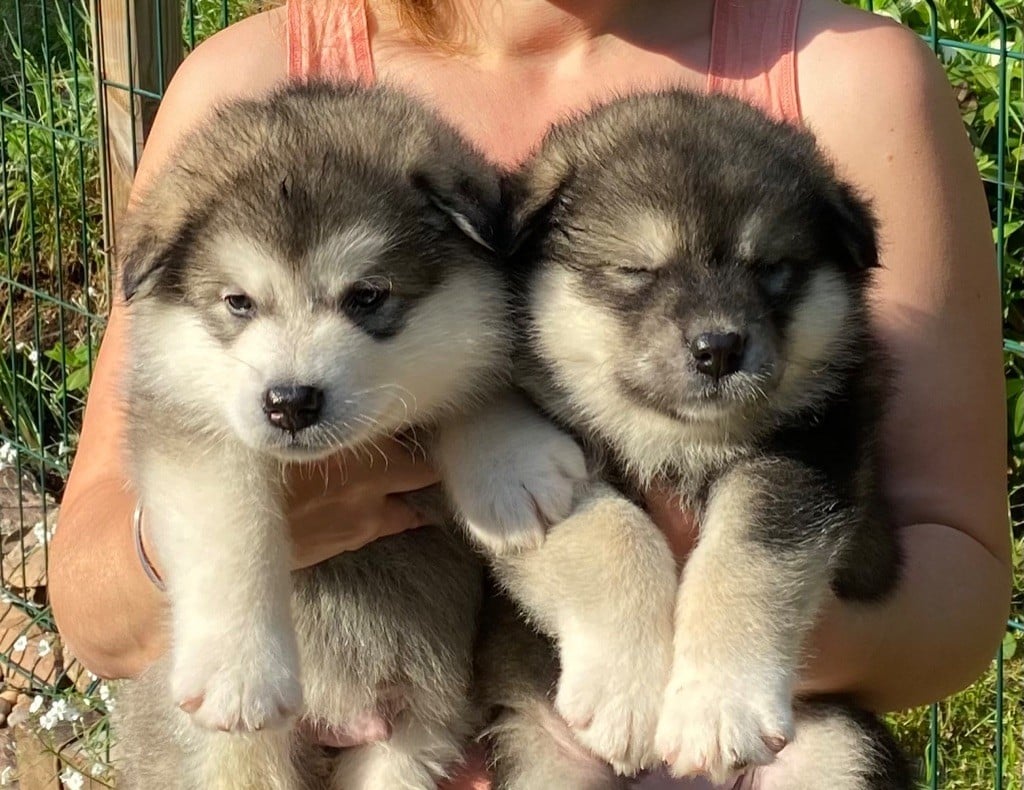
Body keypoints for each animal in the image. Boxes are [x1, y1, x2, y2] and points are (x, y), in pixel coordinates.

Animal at [111, 80, 585, 790]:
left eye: (367, 296)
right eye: (238, 302)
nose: (290, 403)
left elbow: (474, 385)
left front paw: (510, 465)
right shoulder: (182, 416)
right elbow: (224, 520)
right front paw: (238, 669)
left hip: (411, 734)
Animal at [483, 91, 917, 790]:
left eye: (771, 269)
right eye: (636, 268)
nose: (719, 349)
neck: (677, 439)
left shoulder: (814, 445)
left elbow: (748, 551)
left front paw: (718, 708)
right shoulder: (551, 465)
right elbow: (610, 532)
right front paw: (624, 692)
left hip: (840, 751)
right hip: (540, 756)